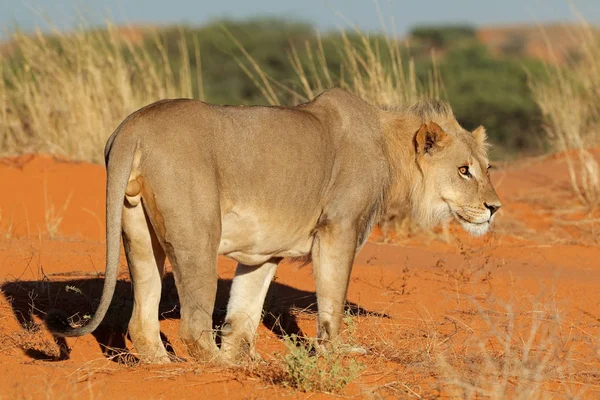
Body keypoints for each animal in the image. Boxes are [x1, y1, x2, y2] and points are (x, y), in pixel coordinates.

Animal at [44, 87, 500, 362]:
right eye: (464, 170)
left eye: (488, 168)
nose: (494, 207)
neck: (390, 147)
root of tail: (131, 127)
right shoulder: (338, 230)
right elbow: (333, 303)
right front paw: (336, 355)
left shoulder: (264, 251)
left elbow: (244, 312)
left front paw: (246, 361)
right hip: (197, 233)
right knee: (193, 326)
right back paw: (213, 367)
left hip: (138, 231)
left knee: (142, 320)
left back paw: (170, 363)